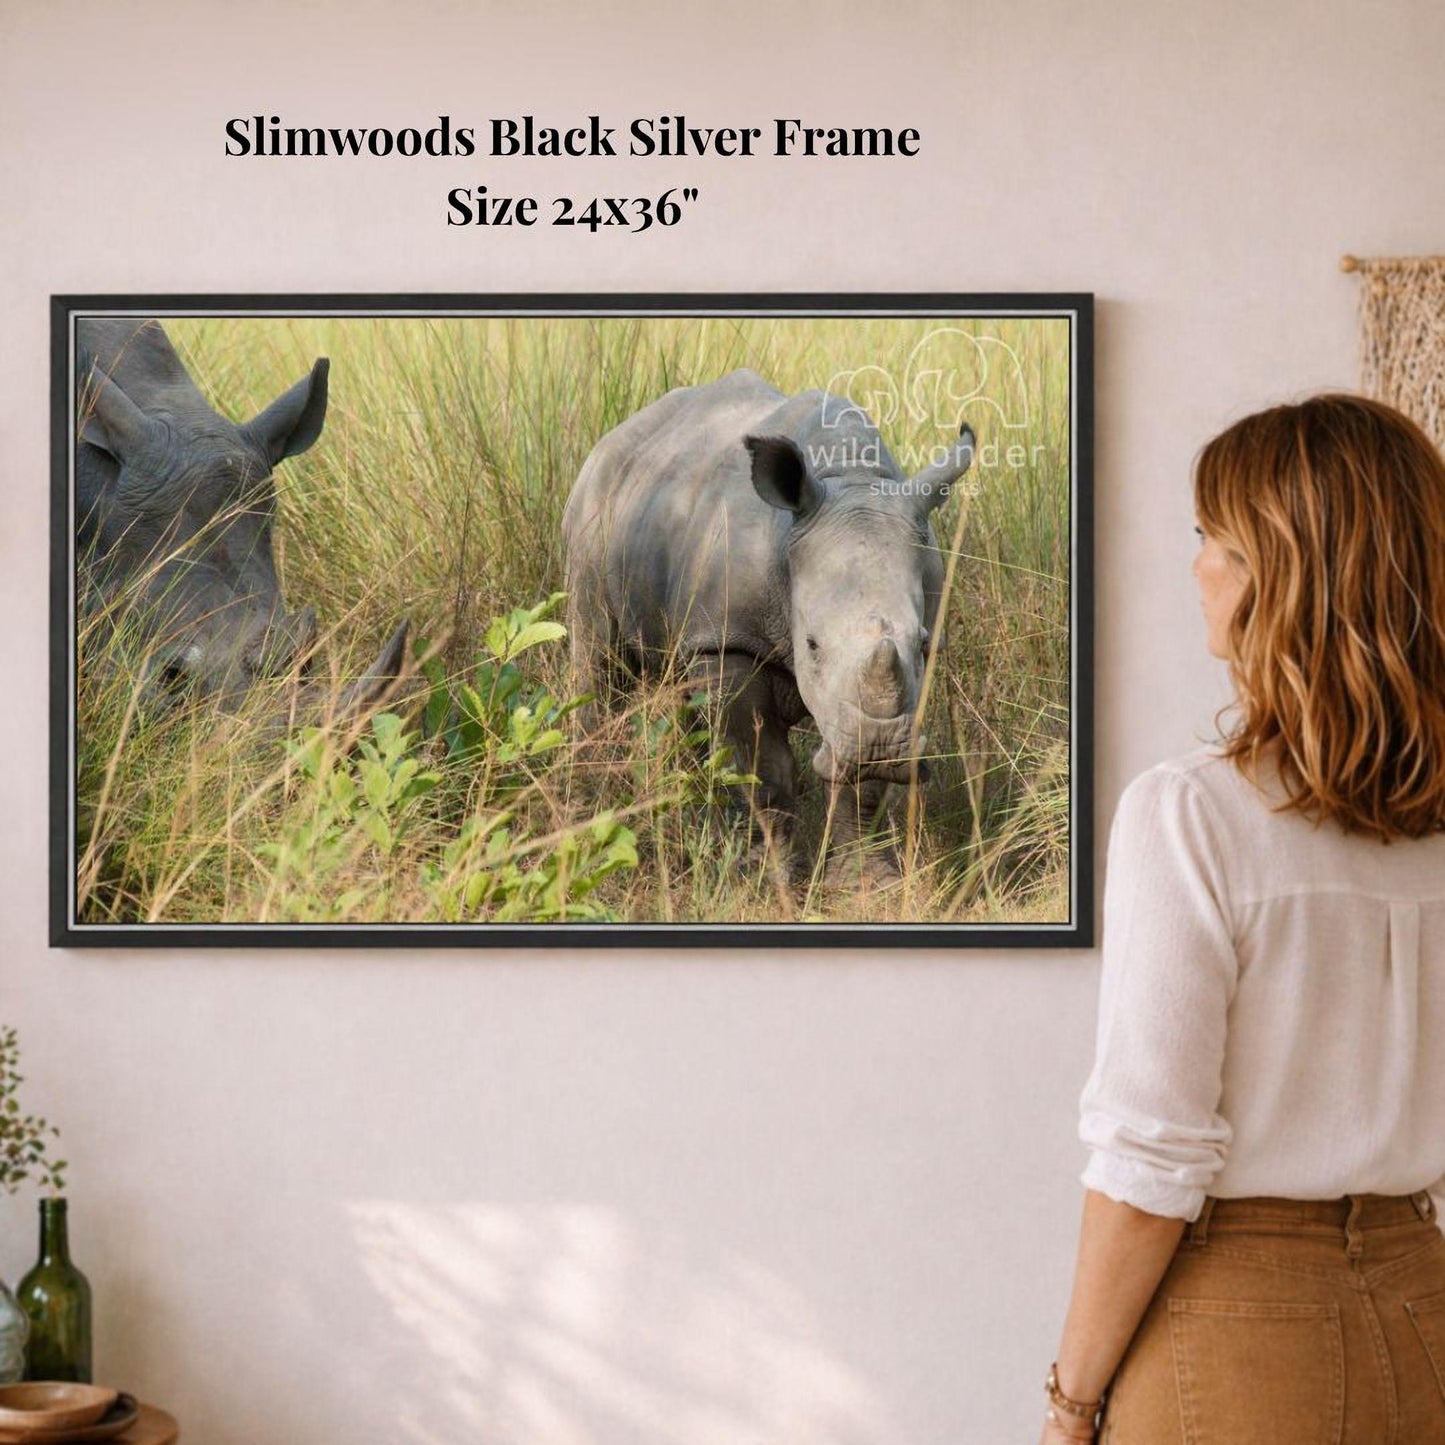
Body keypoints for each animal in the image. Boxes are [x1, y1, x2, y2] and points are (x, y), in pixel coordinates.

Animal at [562, 367, 975, 872]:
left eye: (920, 644)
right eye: (812, 645)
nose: (878, 749)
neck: (850, 477)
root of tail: (615, 437)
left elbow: (859, 785)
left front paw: (868, 878)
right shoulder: (730, 640)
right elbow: (762, 769)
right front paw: (769, 874)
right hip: (592, 510)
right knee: (598, 660)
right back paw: (593, 806)